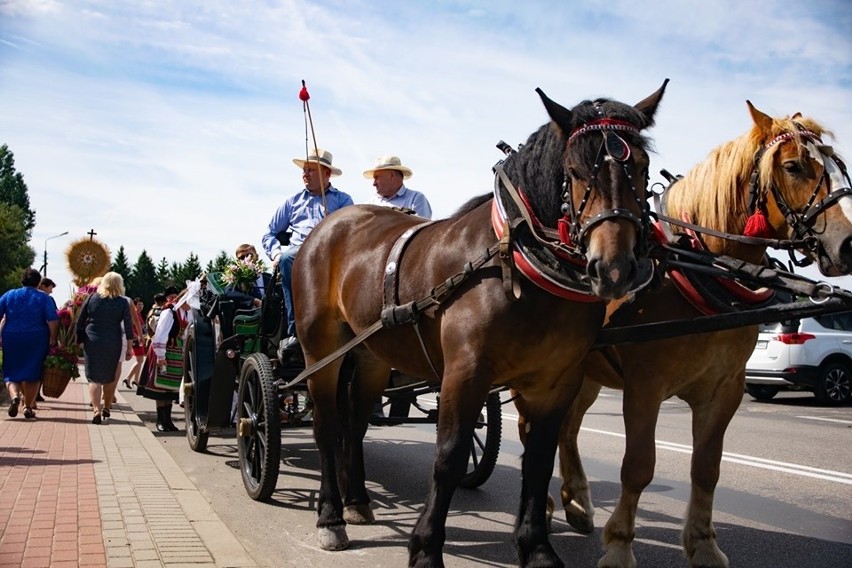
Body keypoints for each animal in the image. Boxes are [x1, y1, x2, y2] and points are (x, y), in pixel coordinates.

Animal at [292, 81, 664, 568]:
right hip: (320, 350)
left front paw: (537, 548)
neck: (519, 262)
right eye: (574, 169)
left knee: (354, 423)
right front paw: (426, 548)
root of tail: (328, 224)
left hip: (371, 353)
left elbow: (539, 461)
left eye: (641, 166)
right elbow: (449, 457)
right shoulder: (465, 373)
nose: (615, 267)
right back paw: (331, 517)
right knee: (327, 426)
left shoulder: (556, 381)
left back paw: (356, 502)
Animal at [532, 103, 852, 568]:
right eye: (793, 166)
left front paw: (702, 543)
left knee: (567, 429)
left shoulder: (725, 390)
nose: (848, 245)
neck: (695, 270)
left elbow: (707, 468)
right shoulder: (645, 388)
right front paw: (619, 545)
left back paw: (576, 502)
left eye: (838, 164)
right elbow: (638, 466)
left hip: (587, 374)